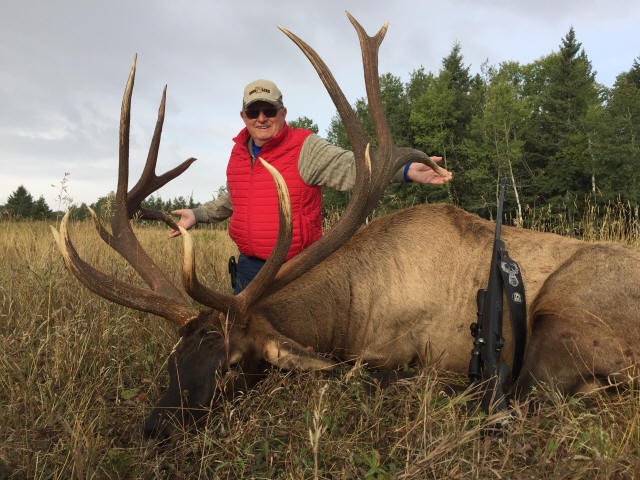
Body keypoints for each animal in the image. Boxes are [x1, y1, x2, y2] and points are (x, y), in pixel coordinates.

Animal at [51, 13, 640, 439]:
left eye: (229, 365)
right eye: (172, 359)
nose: (153, 428)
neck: (351, 309)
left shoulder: (406, 349)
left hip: (566, 315)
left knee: (534, 391)